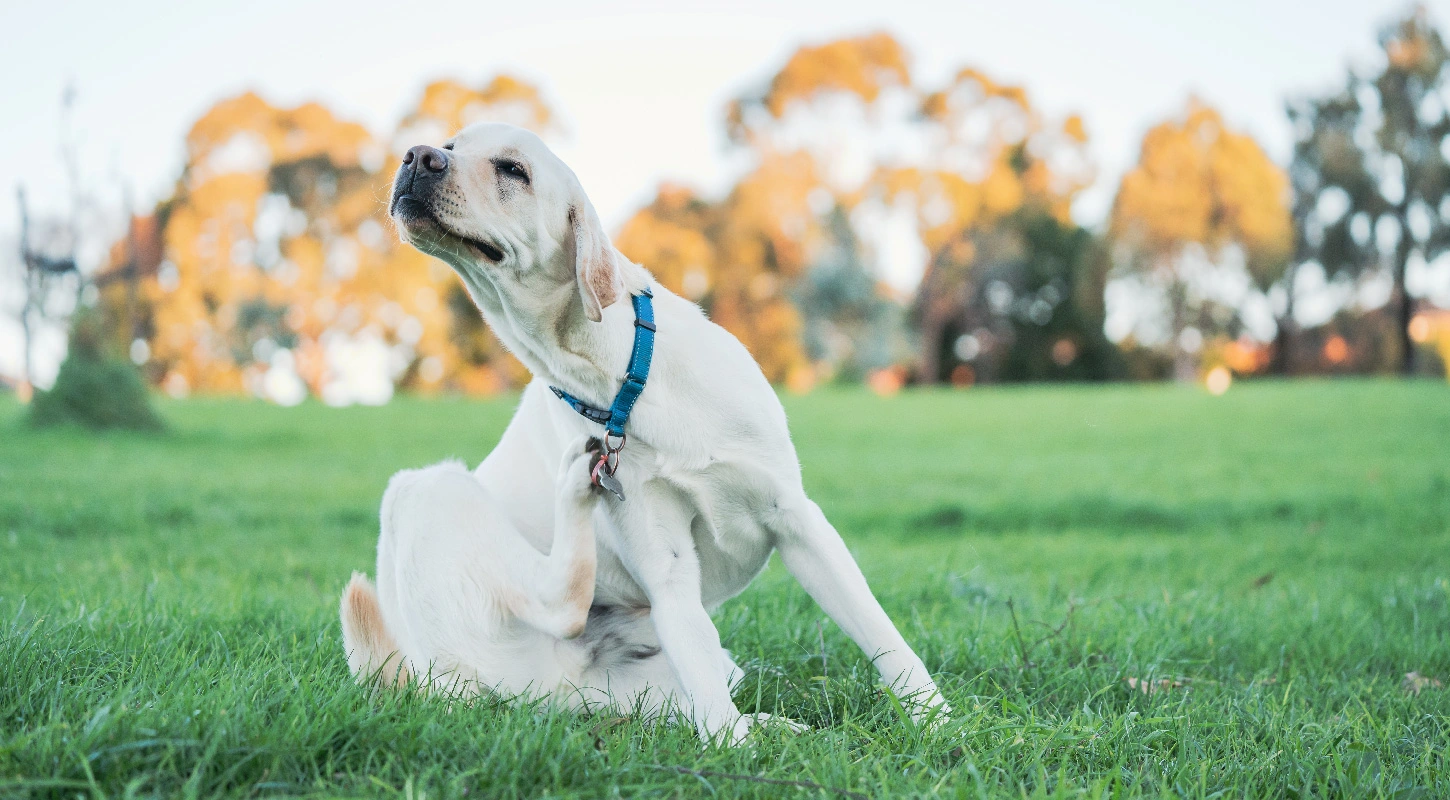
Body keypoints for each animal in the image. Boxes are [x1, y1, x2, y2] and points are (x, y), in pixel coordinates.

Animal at [342, 123, 951, 742]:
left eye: (513, 169)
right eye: (448, 145)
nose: (416, 155)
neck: (621, 381)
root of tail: (432, 683)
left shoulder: (798, 520)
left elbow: (884, 637)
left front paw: (938, 724)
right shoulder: (668, 570)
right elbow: (715, 707)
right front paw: (736, 752)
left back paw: (784, 728)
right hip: (425, 489)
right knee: (563, 606)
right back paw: (573, 488)